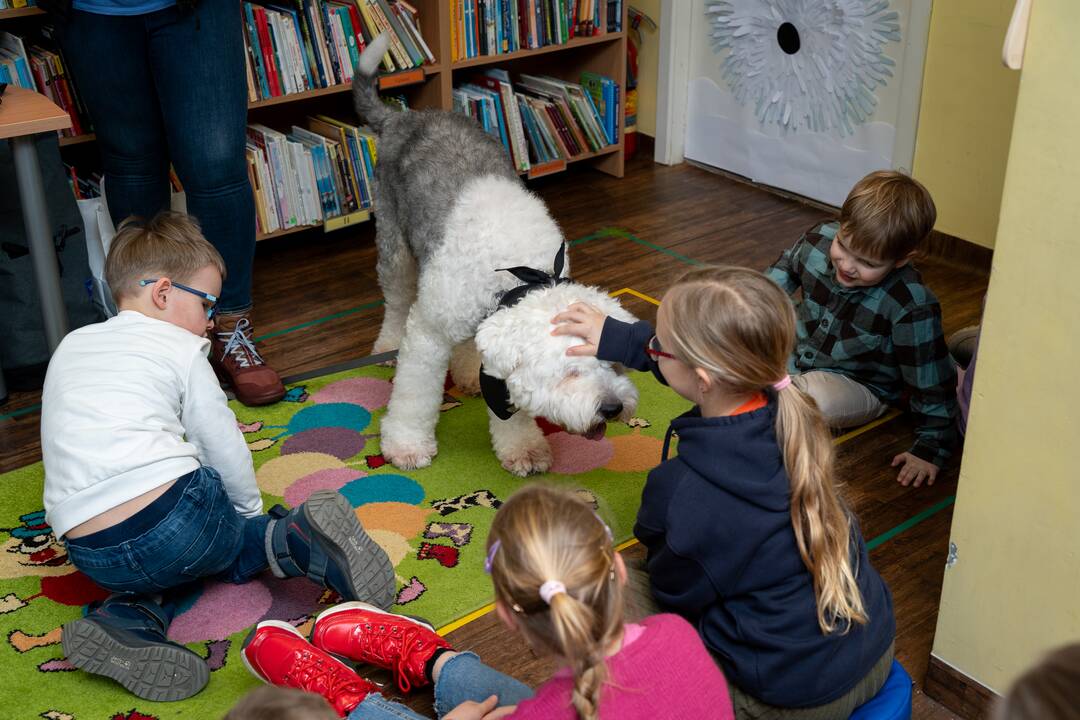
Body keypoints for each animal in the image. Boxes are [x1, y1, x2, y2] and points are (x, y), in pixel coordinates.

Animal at [349, 33, 635, 474]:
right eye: (570, 370)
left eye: (610, 361)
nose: (612, 407)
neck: (518, 274)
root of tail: (404, 118)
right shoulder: (428, 333)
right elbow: (414, 395)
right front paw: (406, 445)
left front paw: (523, 448)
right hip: (394, 244)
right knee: (395, 301)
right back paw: (385, 347)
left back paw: (467, 372)